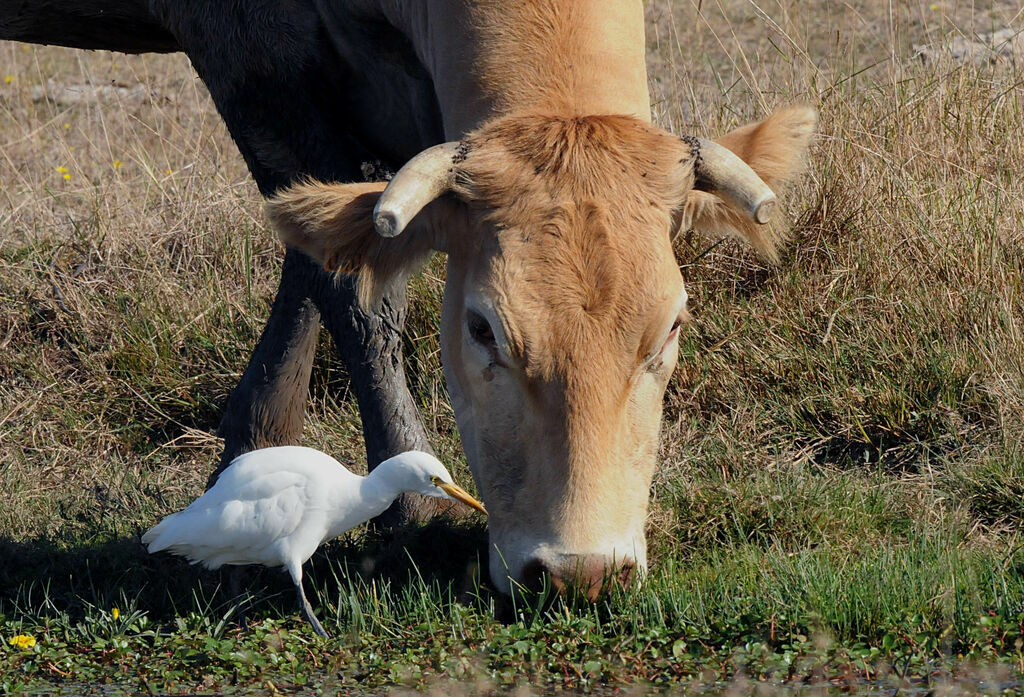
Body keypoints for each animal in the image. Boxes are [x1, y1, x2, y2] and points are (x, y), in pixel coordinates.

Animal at [0, 1, 815, 597]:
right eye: (482, 329)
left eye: (671, 326)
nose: (578, 571)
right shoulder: (256, 63)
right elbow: (352, 291)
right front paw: (407, 499)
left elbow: (319, 257)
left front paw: (254, 442)